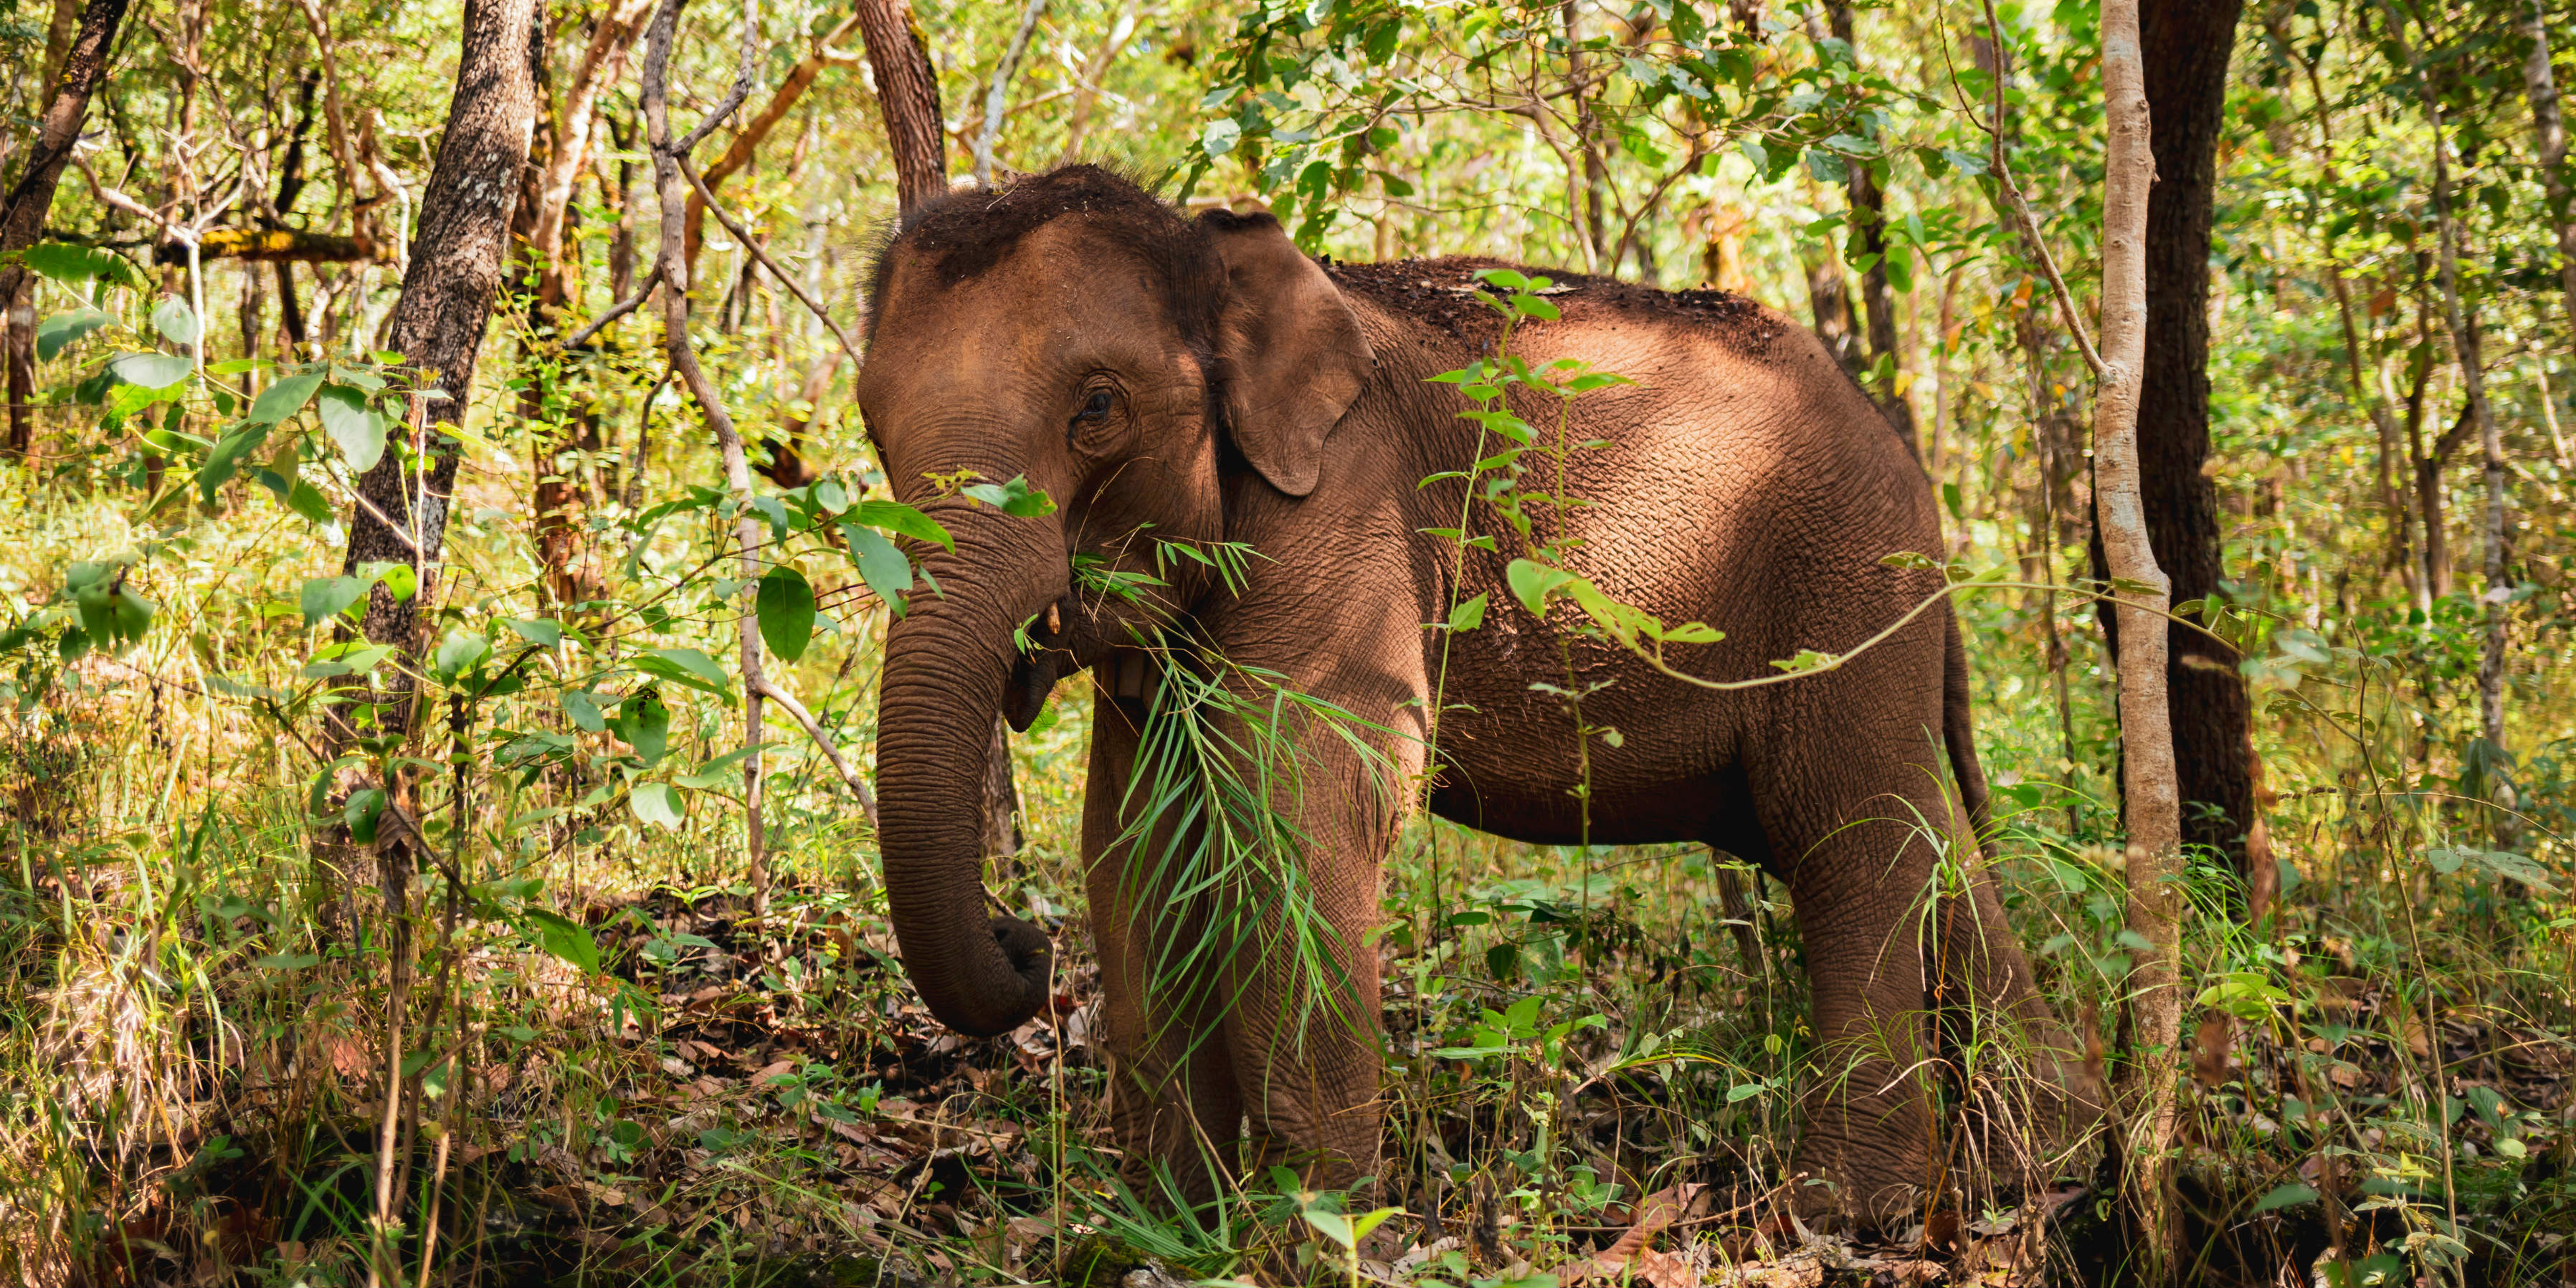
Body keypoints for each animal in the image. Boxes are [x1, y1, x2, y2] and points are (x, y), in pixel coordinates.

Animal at [855, 166, 2101, 1231]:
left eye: (1098, 408)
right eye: (872, 427)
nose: (1022, 941)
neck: (1218, 256)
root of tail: (1909, 468)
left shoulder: (1340, 506)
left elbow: (1302, 797)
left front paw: (1317, 1227)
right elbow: (1135, 839)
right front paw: (1171, 1224)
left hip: (1844, 585)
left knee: (1844, 834)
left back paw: (1848, 1213)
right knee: (1916, 830)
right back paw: (2044, 1160)